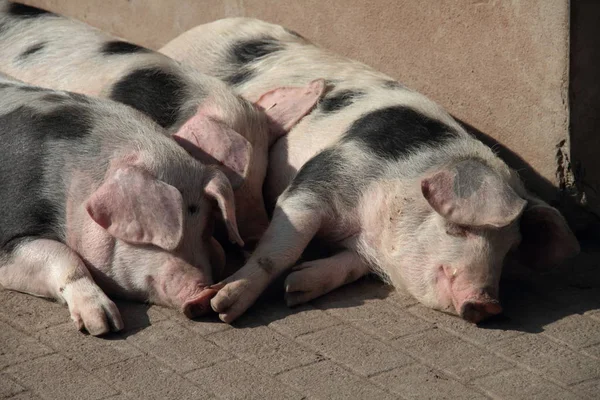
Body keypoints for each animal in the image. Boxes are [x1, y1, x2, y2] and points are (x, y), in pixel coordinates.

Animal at [0, 74, 244, 334]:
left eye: (205, 229)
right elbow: (63, 255)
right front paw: (104, 325)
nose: (204, 295)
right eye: (160, 237)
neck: (74, 188)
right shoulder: (10, 228)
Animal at [159, 19, 580, 324]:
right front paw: (221, 308)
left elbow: (349, 266)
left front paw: (297, 287)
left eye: (510, 247)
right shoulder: (318, 177)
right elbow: (279, 249)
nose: (488, 305)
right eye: (457, 228)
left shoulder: (365, 245)